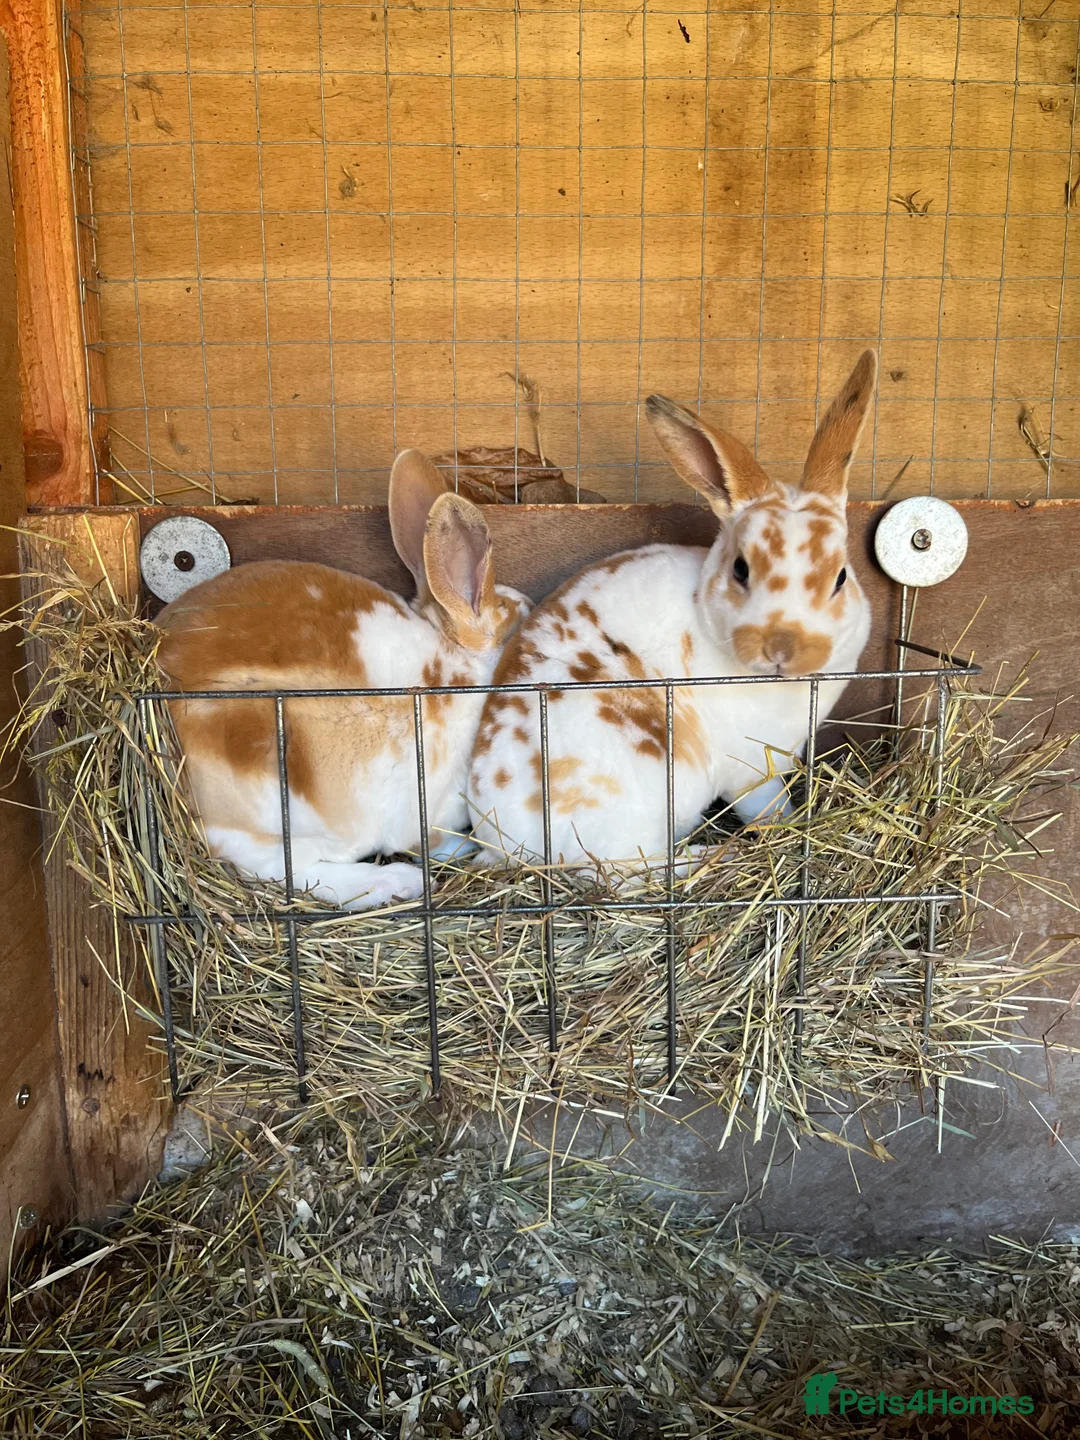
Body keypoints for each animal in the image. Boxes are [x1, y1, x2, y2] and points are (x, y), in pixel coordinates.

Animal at [466, 350, 877, 870]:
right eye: (741, 569)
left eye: (841, 577)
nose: (782, 648)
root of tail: (498, 842)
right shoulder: (752, 769)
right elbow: (769, 808)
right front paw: (784, 828)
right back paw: (710, 856)